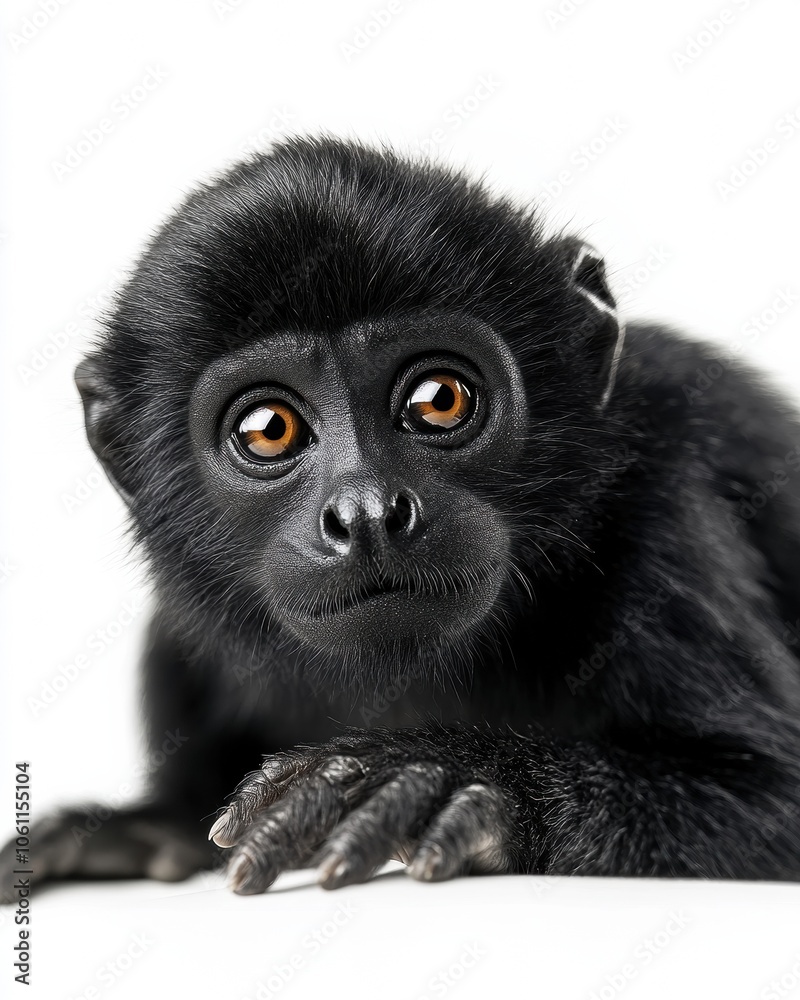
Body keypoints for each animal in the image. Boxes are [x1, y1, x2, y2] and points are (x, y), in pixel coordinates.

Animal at [2, 135, 800, 898]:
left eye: (439, 399)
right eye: (268, 430)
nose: (365, 513)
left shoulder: (664, 513)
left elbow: (777, 797)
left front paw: (451, 779)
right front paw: (145, 823)